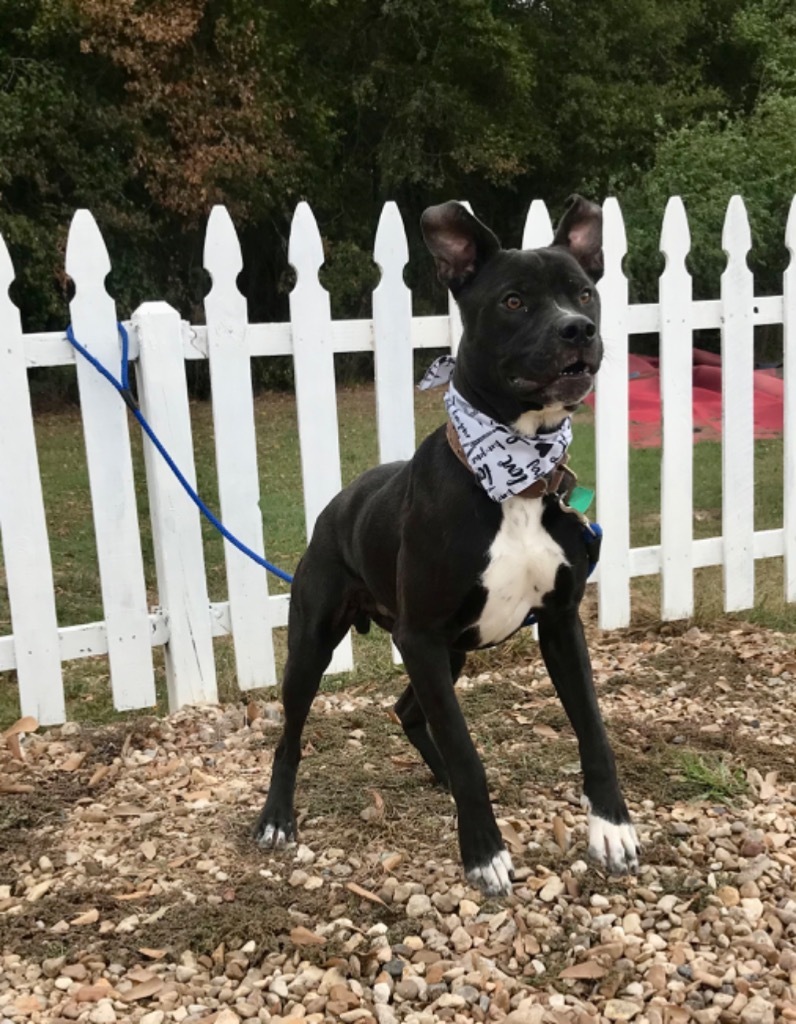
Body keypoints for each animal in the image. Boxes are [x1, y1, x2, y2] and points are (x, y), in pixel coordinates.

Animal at [255, 195, 639, 892]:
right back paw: (277, 817)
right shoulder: (424, 638)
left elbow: (593, 731)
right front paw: (484, 851)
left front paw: (611, 827)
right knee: (291, 735)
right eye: (513, 301)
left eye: (585, 292)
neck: (516, 478)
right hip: (317, 647)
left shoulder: (558, 624)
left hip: (446, 652)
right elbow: (467, 753)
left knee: (409, 710)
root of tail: (335, 506)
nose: (578, 330)